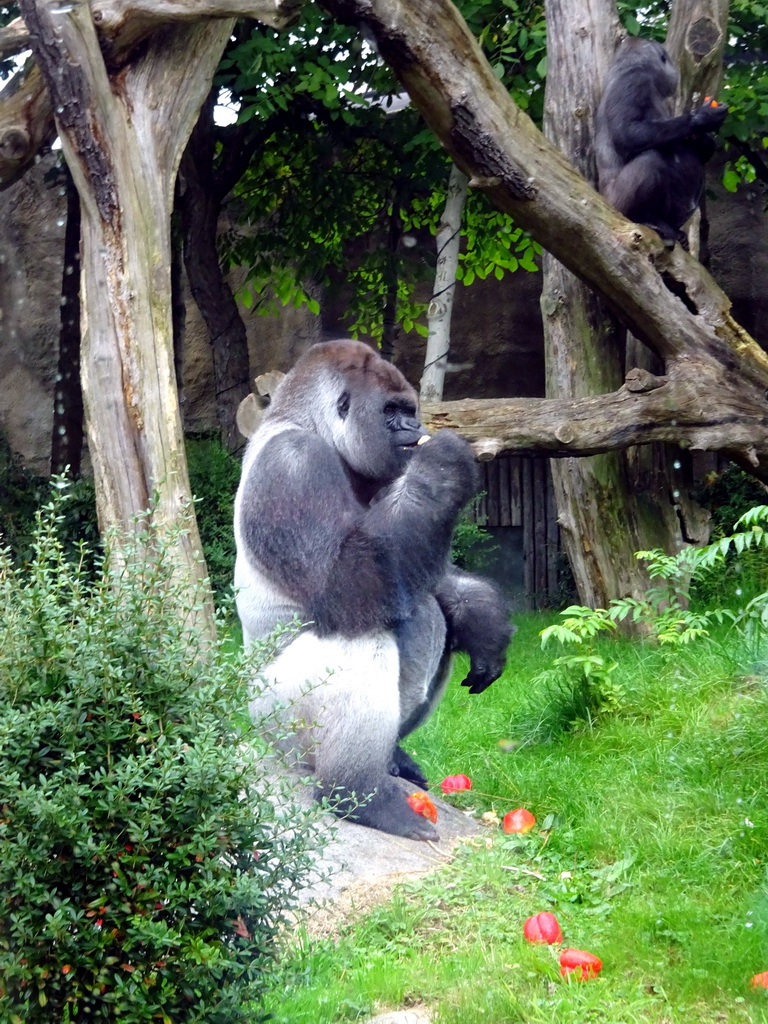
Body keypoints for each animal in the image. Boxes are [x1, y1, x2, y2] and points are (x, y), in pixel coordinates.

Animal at [231, 339, 514, 835]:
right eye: (390, 412)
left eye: (409, 410)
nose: (416, 426)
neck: (309, 425)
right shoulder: (294, 463)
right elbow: (347, 586)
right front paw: (441, 468)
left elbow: (421, 568)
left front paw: (484, 620)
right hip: (276, 725)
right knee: (363, 638)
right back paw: (356, 791)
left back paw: (391, 761)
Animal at [598, 36, 729, 247]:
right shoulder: (634, 80)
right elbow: (628, 134)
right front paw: (702, 118)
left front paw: (702, 138)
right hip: (614, 206)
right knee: (651, 159)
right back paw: (645, 219)